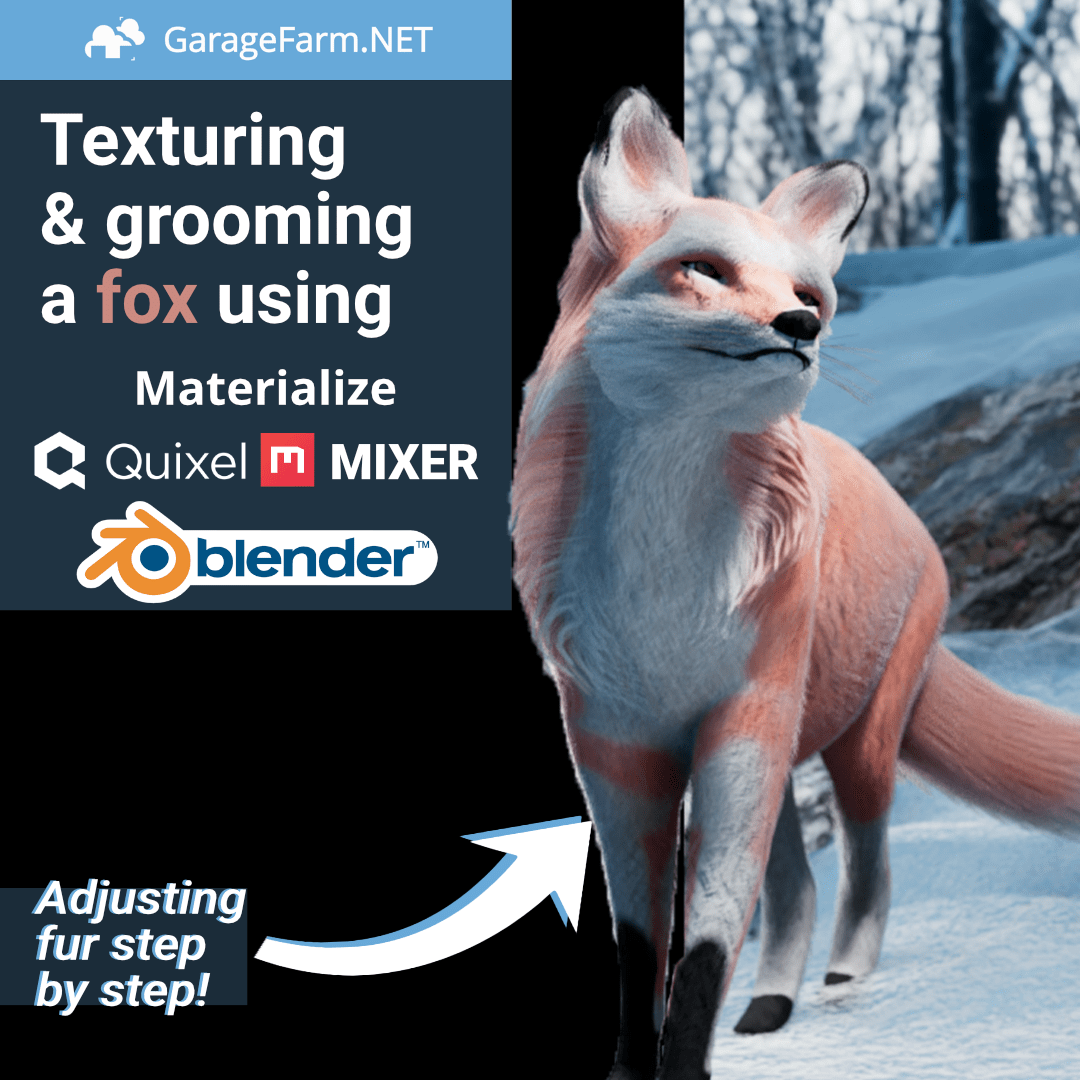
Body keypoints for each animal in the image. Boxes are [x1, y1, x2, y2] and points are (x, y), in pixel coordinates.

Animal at [510, 87, 1080, 1080]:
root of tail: (903, 507)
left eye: (808, 295)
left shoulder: (744, 719)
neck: (661, 595)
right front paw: (630, 1069)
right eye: (703, 270)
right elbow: (640, 944)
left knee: (866, 864)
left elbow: (706, 940)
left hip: (856, 743)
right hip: (783, 759)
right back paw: (773, 1002)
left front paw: (685, 1067)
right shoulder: (615, 742)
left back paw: (842, 980)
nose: (801, 329)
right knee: (801, 887)